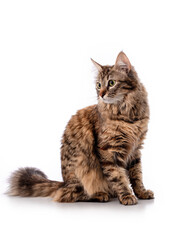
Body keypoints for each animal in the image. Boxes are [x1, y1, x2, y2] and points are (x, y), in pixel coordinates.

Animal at [8, 50, 153, 204]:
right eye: (98, 85)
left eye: (111, 83)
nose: (101, 94)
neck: (128, 113)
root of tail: (64, 183)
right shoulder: (108, 150)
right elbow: (118, 176)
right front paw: (126, 195)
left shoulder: (136, 149)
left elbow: (136, 175)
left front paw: (142, 192)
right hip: (80, 170)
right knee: (70, 195)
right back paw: (100, 194)